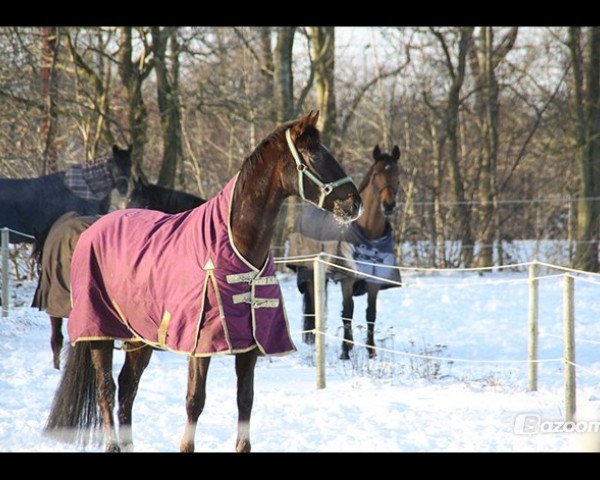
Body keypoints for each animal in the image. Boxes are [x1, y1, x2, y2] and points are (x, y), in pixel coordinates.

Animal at [288, 144, 400, 358]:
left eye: (398, 174)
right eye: (376, 174)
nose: (389, 206)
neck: (368, 234)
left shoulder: (374, 282)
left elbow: (370, 313)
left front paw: (371, 352)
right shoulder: (346, 279)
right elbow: (348, 312)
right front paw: (345, 351)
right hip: (310, 273)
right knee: (314, 306)